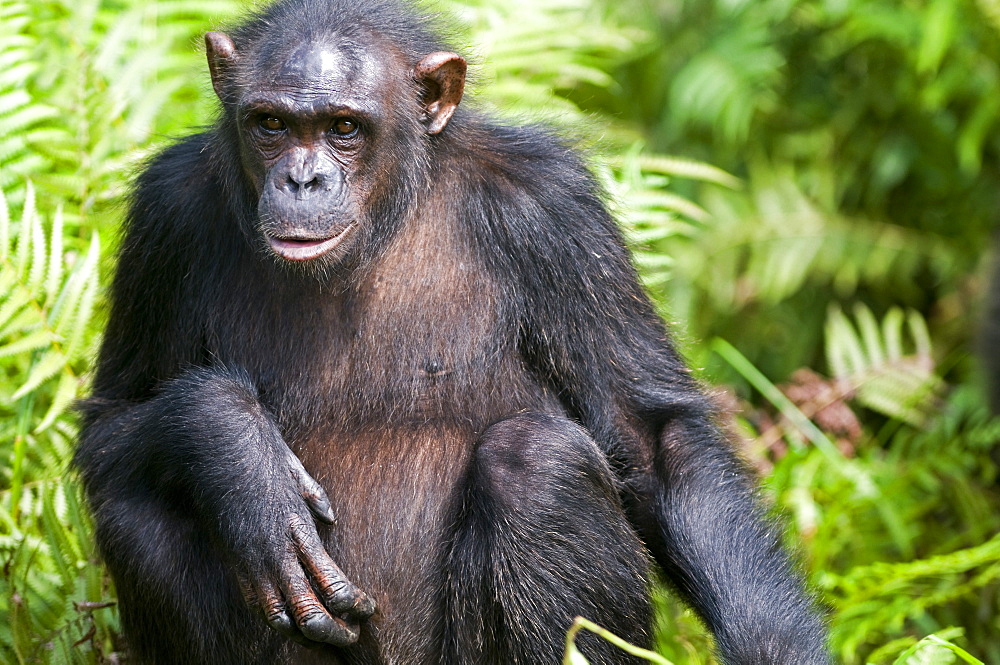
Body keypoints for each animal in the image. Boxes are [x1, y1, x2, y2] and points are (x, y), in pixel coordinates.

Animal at [74, 1, 832, 664]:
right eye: (270, 124)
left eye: (344, 128)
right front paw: (240, 457)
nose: (302, 178)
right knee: (135, 510)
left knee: (537, 461)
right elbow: (114, 418)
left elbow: (651, 436)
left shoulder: (555, 208)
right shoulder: (165, 216)